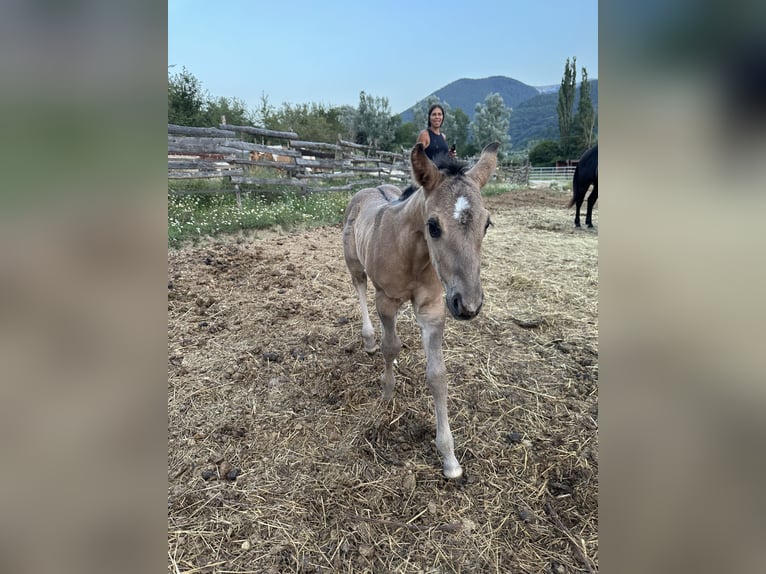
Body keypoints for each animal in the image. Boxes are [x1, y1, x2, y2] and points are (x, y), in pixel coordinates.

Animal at [342, 142, 500, 479]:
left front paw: (449, 458)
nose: (468, 305)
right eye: (433, 226)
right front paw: (387, 393)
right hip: (355, 265)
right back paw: (369, 339)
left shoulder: (433, 307)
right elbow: (389, 346)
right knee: (360, 289)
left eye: (487, 223)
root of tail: (367, 188)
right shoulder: (386, 299)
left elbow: (437, 376)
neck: (412, 255)